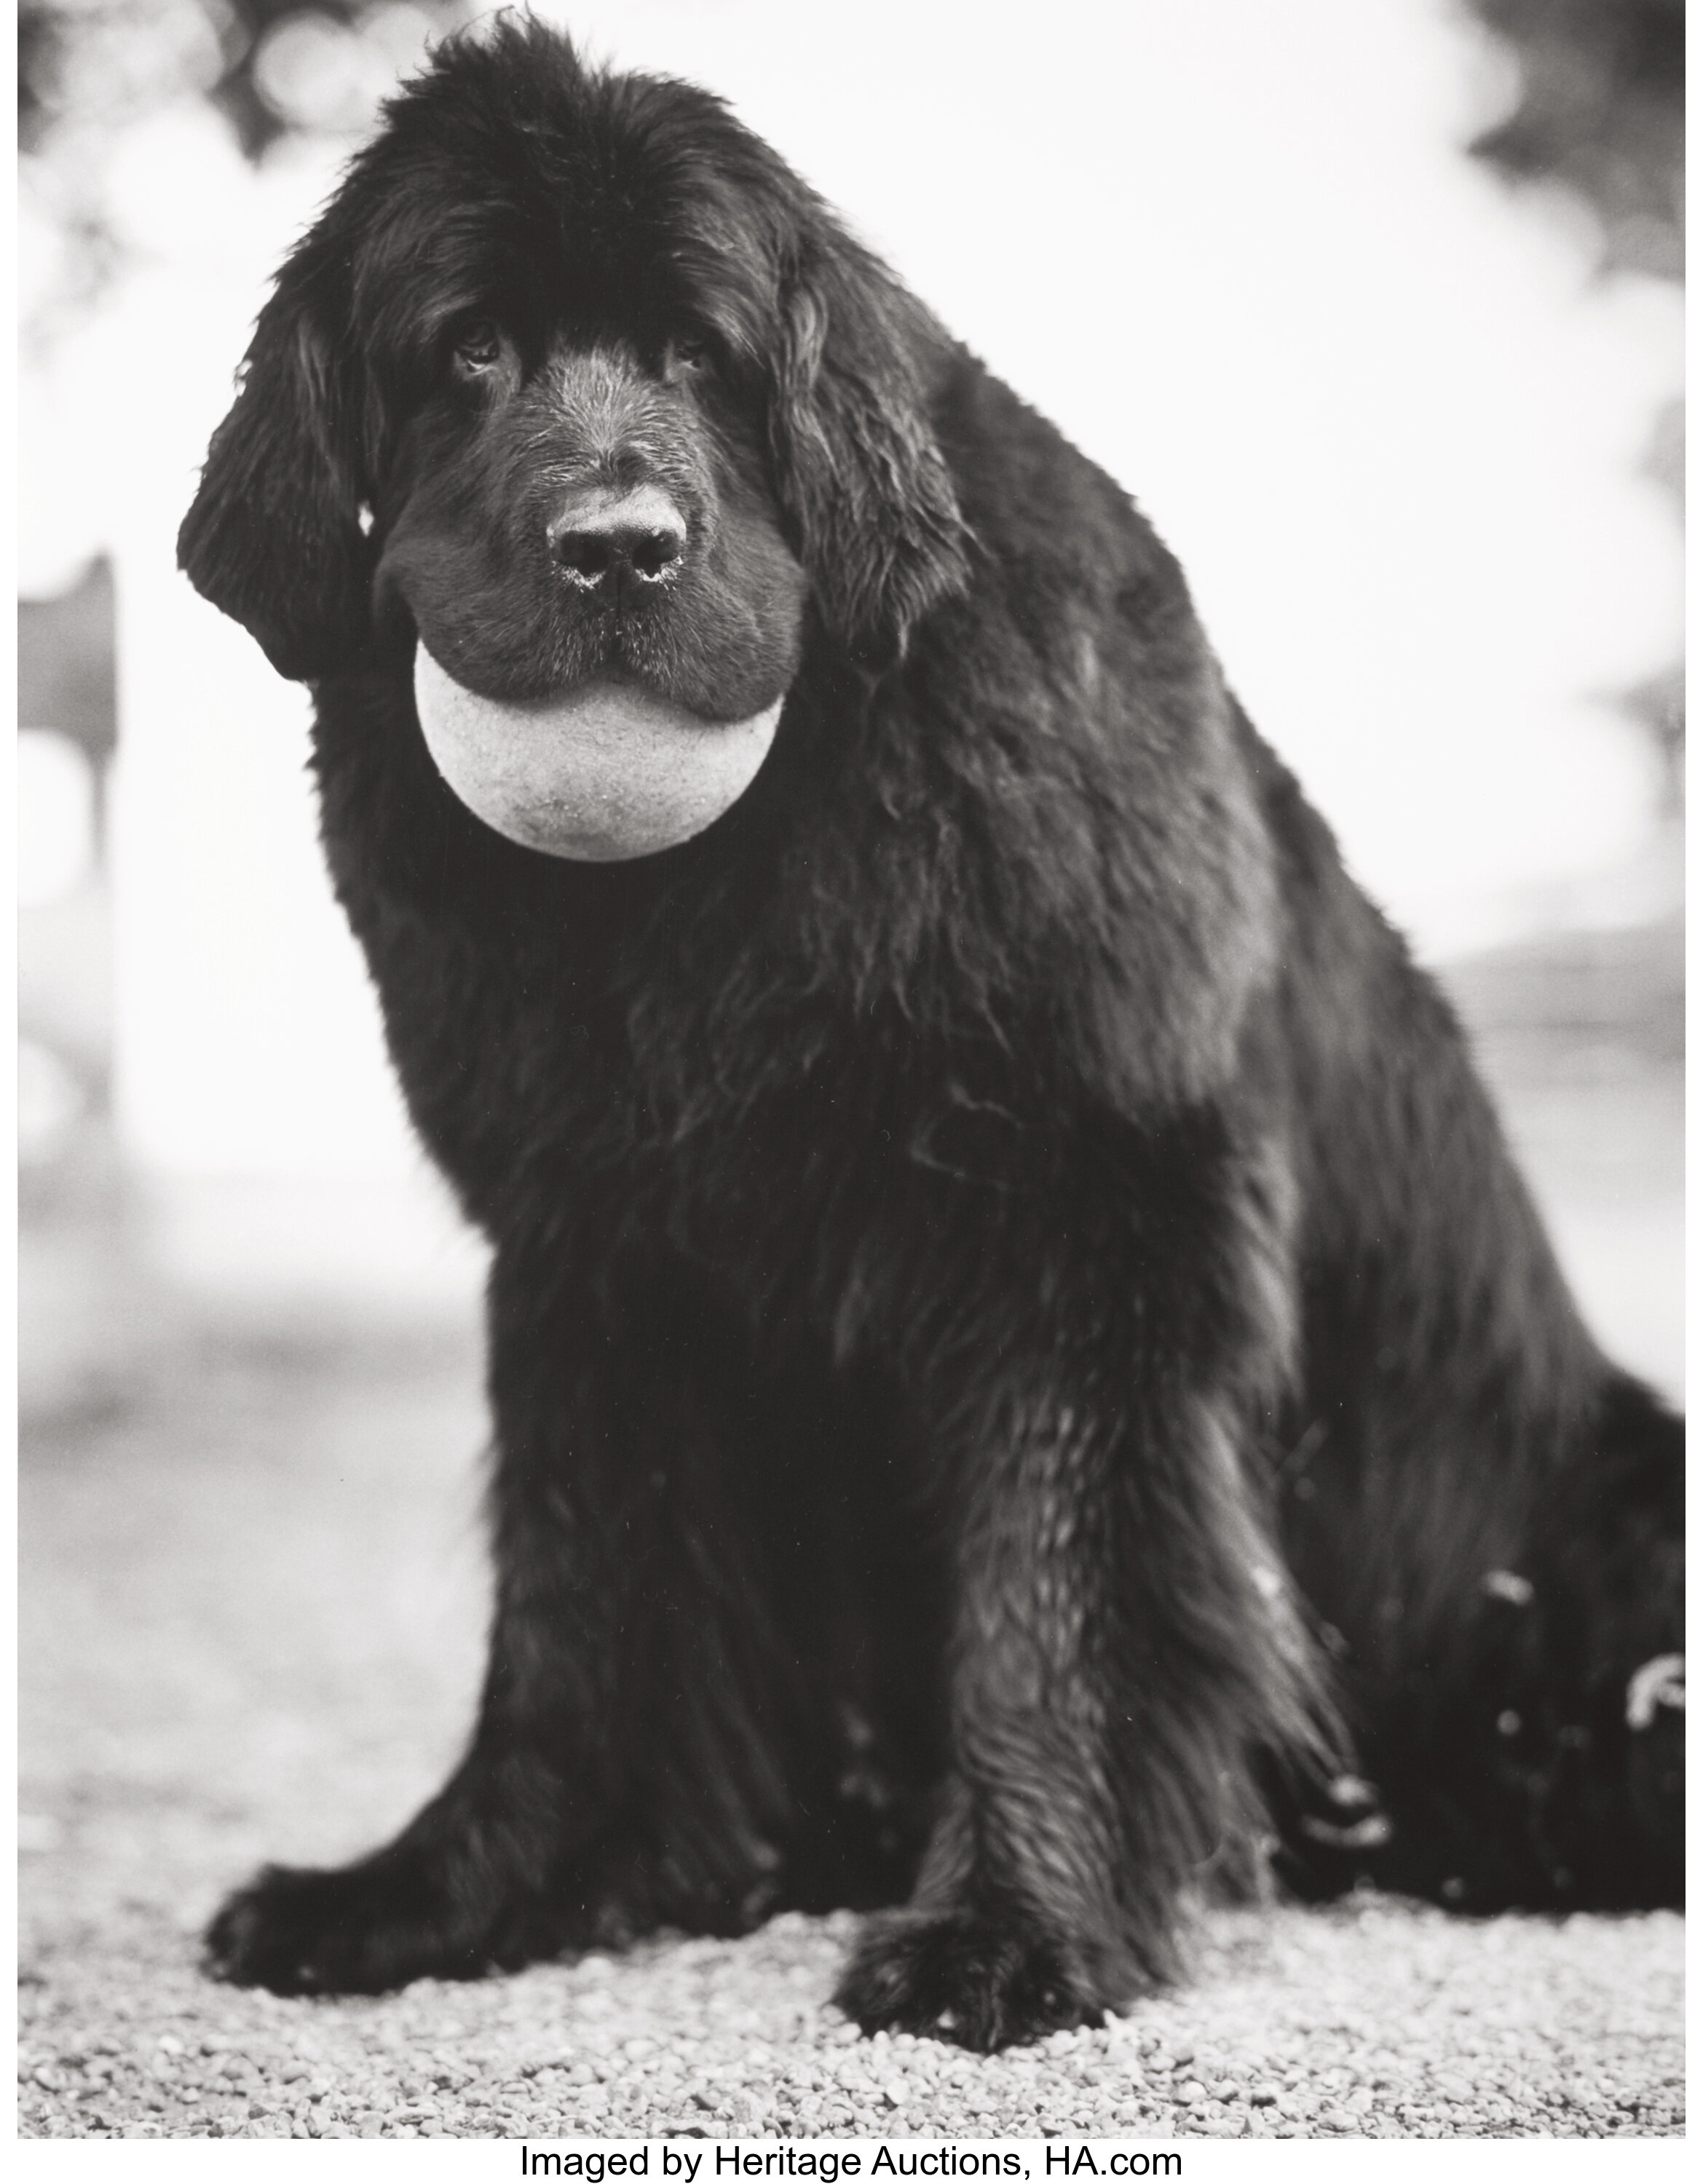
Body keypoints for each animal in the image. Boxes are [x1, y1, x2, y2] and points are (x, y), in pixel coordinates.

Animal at [183, 25, 1677, 2053]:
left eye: (701, 356)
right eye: (470, 351)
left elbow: (1059, 1587)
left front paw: (1016, 1930)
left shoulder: (1094, 1212)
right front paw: (458, 1890)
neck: (724, 880)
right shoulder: (587, 1255)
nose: (616, 549)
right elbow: (575, 1605)